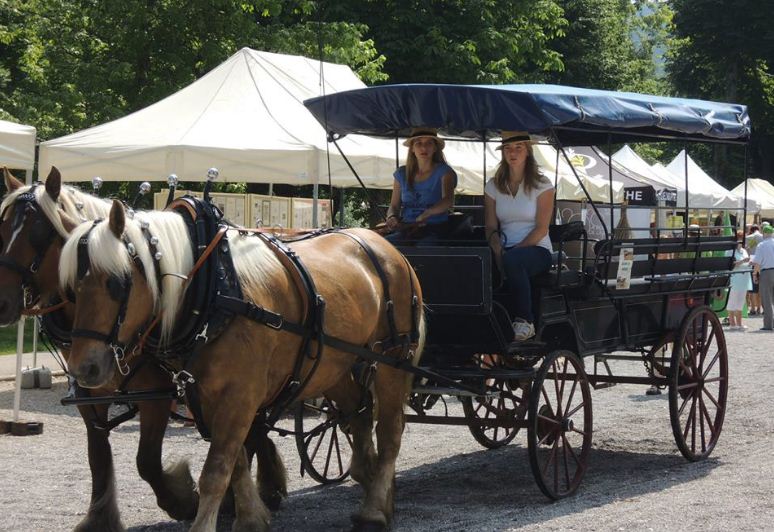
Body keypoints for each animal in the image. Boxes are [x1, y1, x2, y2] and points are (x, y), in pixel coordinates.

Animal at [60, 201, 424, 532]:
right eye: (72, 288)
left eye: (118, 283)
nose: (83, 368)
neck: (215, 290)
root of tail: (388, 248)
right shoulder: (206, 396)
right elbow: (234, 461)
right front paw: (251, 517)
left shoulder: (240, 395)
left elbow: (217, 469)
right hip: (332, 364)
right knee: (358, 413)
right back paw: (376, 487)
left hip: (393, 358)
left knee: (389, 431)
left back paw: (375, 509)